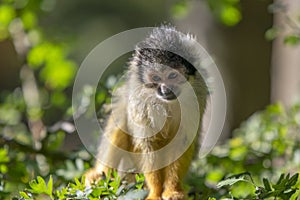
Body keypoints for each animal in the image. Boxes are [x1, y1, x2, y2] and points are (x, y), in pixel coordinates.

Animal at [83, 25, 207, 199]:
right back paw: (100, 174)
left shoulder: (198, 92)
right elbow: (147, 142)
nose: (165, 89)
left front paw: (173, 190)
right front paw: (155, 192)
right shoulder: (139, 97)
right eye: (156, 78)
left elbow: (182, 141)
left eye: (172, 75)